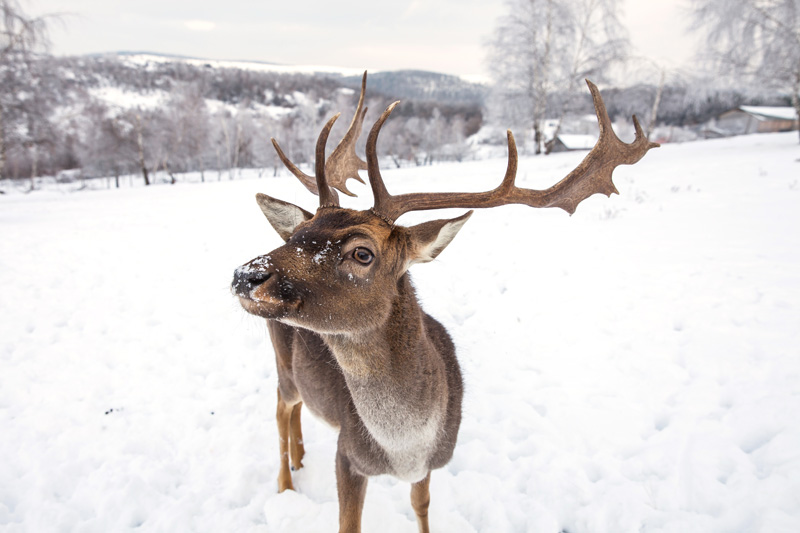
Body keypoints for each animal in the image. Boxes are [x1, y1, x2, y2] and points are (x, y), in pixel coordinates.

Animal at [231, 71, 656, 532]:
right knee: (280, 406)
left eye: (362, 253)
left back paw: (301, 456)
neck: (405, 449)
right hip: (283, 361)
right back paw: (286, 483)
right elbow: (349, 522)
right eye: (295, 236)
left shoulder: (432, 464)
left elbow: (422, 507)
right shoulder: (348, 453)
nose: (247, 274)